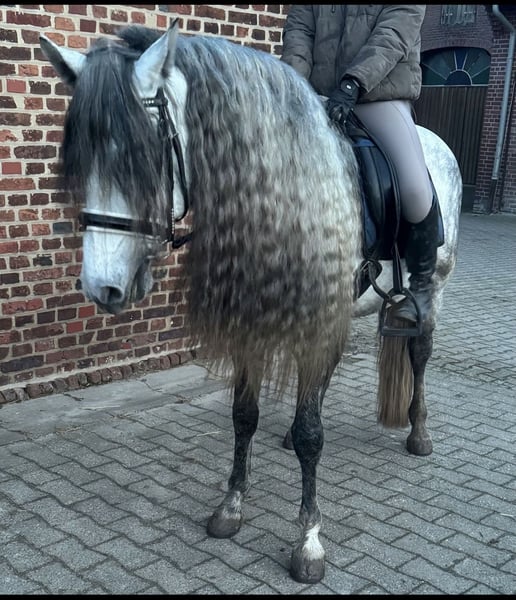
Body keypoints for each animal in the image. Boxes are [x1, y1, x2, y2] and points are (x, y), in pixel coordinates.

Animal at [39, 21, 461, 584]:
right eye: (80, 160)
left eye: (144, 158)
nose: (101, 287)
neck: (285, 196)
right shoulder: (252, 325)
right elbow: (244, 416)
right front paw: (231, 508)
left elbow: (310, 435)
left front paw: (309, 543)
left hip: (431, 290)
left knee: (418, 351)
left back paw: (419, 432)